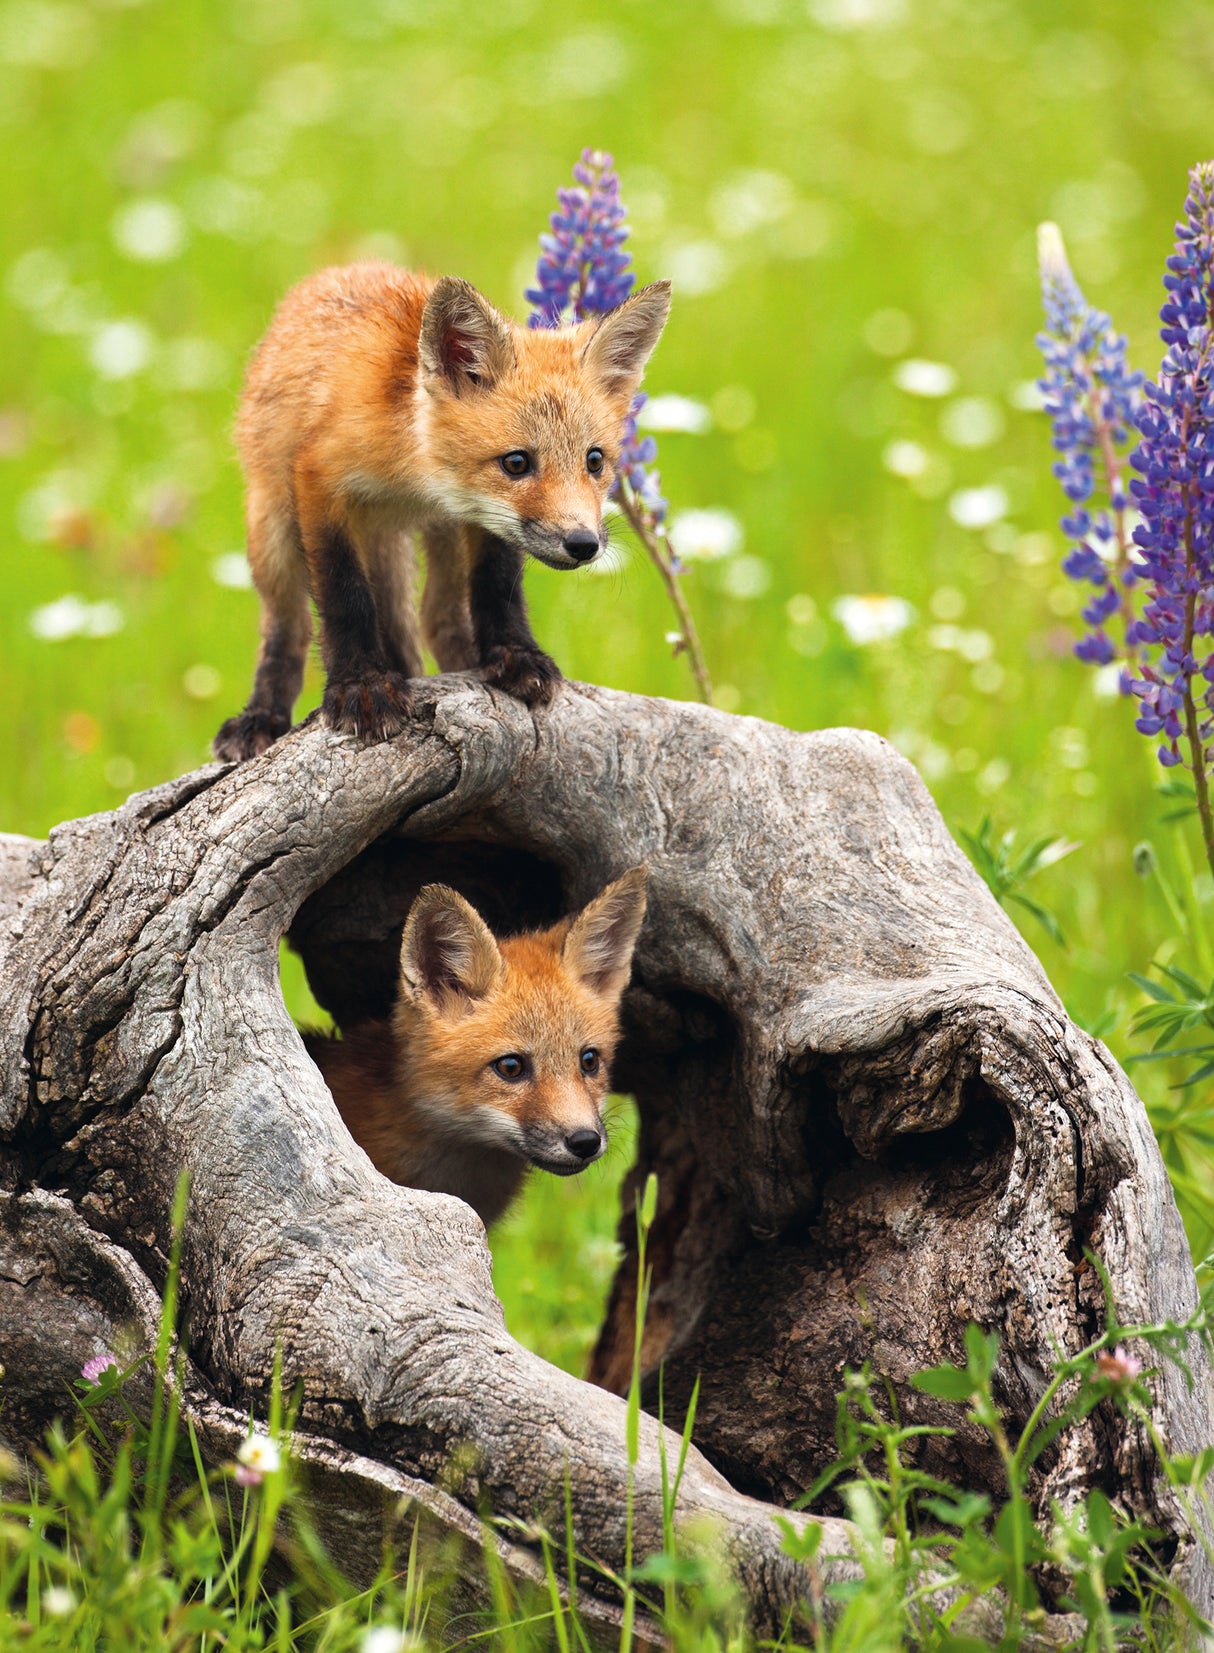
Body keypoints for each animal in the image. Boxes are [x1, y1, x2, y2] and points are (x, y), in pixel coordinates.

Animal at [213, 262, 672, 761]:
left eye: (595, 461)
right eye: (516, 463)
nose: (583, 544)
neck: (414, 476)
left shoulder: (483, 520)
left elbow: (496, 587)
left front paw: (514, 655)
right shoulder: (319, 482)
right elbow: (345, 597)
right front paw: (362, 684)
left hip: (443, 541)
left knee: (438, 615)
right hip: (272, 528)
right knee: (288, 627)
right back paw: (262, 715)